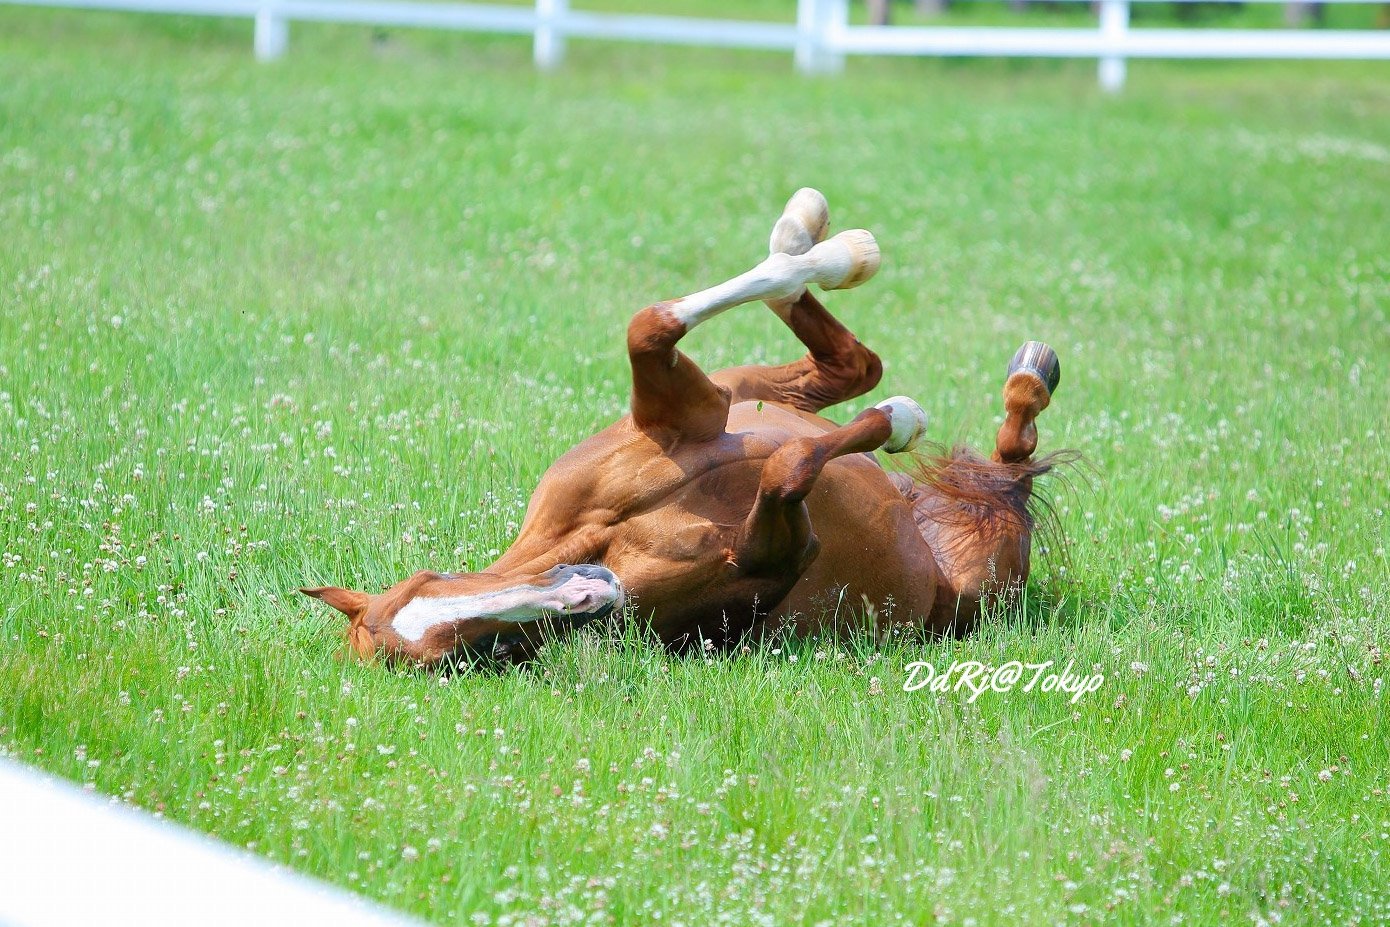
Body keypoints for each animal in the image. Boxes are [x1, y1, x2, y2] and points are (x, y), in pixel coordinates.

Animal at [304, 190, 1061, 667]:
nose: (584, 592)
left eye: (429, 578)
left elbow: (650, 324)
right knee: (1001, 474)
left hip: (741, 388)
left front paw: (837, 254)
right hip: (981, 580)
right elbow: (789, 469)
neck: (610, 531)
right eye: (466, 653)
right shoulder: (777, 557)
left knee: (847, 364)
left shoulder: (690, 409)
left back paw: (815, 237)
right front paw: (901, 416)